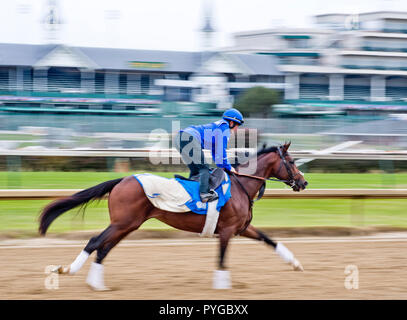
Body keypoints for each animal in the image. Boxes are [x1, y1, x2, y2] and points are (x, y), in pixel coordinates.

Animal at [39, 142, 310, 290]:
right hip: (122, 223)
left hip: (127, 225)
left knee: (104, 248)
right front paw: (222, 285)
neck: (241, 185)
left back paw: (97, 284)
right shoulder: (226, 230)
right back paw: (69, 270)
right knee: (95, 242)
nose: (304, 182)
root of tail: (122, 179)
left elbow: (269, 239)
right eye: (292, 161)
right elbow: (222, 258)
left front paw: (295, 263)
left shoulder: (241, 228)